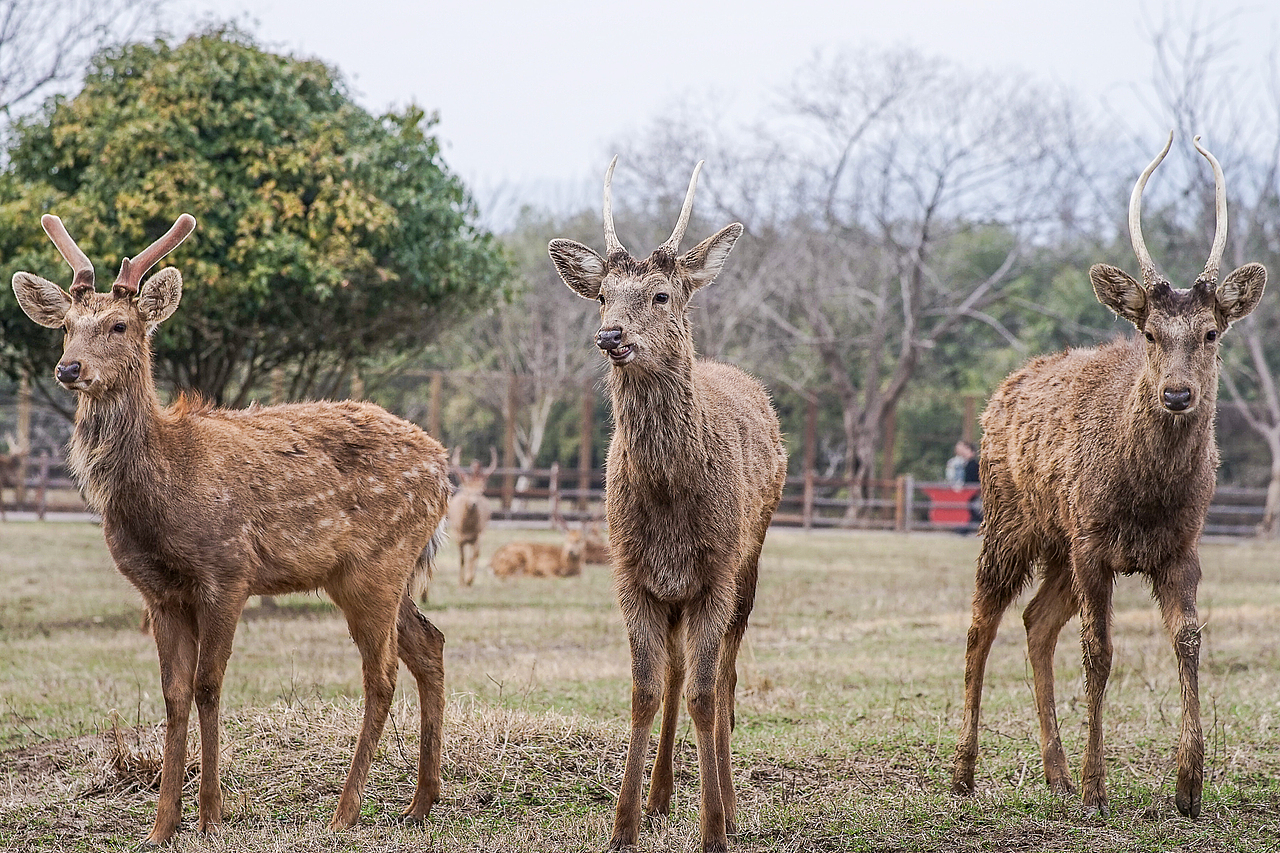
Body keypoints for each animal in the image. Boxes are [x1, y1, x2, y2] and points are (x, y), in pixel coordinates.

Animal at [11, 213, 453, 846]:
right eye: (66, 328)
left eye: (120, 324)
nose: (69, 368)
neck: (162, 493)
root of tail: (444, 468)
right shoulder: (160, 592)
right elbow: (173, 694)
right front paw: (162, 826)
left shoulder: (227, 571)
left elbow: (208, 685)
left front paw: (211, 816)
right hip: (375, 573)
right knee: (429, 643)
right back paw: (420, 804)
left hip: (378, 564)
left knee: (383, 673)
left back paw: (345, 812)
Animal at [448, 446, 497, 586]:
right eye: (468, 492)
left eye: (480, 491)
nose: (474, 503)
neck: (467, 527)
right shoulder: (457, 536)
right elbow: (462, 559)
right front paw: (461, 582)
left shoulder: (478, 534)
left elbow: (473, 556)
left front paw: (469, 579)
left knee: (476, 554)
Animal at [549, 158, 788, 853]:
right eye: (604, 294)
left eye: (660, 295)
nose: (611, 335)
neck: (669, 503)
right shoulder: (631, 574)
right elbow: (645, 689)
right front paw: (624, 825)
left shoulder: (716, 573)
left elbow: (709, 695)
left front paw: (713, 828)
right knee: (680, 674)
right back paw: (660, 797)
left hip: (749, 562)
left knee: (725, 675)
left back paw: (729, 805)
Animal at [951, 134, 1267, 820]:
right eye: (1148, 331)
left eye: (1210, 331)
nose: (1177, 394)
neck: (1146, 494)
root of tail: (1000, 392)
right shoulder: (1094, 544)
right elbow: (1099, 653)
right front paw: (1098, 786)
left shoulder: (1180, 548)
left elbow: (1189, 639)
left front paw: (1188, 785)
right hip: (1008, 522)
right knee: (982, 621)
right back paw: (964, 770)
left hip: (1059, 547)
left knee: (1036, 621)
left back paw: (1055, 774)